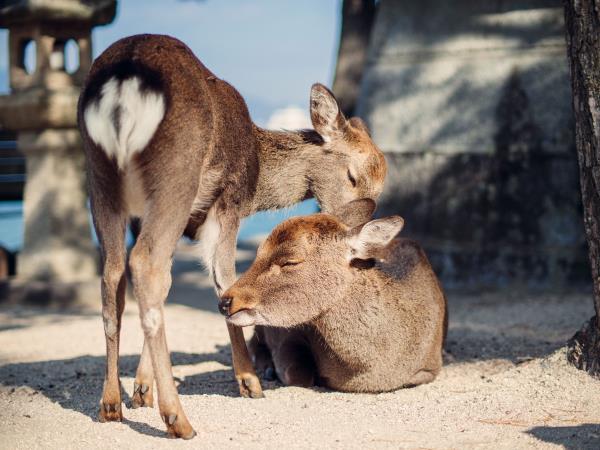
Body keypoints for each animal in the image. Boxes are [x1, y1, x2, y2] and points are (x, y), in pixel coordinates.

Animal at [77, 33, 386, 438]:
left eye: (380, 187)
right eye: (353, 175)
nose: (362, 218)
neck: (258, 177)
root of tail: (124, 80)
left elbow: (169, 286)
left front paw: (142, 389)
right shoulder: (227, 204)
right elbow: (224, 280)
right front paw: (249, 381)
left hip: (100, 181)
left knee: (115, 273)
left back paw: (111, 404)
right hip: (175, 174)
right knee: (144, 263)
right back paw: (178, 419)